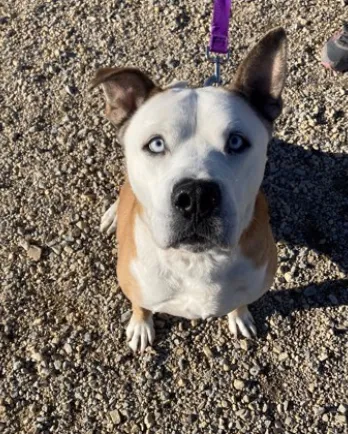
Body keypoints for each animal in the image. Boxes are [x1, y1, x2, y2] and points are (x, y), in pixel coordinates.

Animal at [91, 27, 286, 352]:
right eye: (156, 144)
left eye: (236, 141)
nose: (196, 197)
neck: (197, 262)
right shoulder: (135, 286)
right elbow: (140, 306)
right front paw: (140, 325)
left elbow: (241, 301)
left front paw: (239, 315)